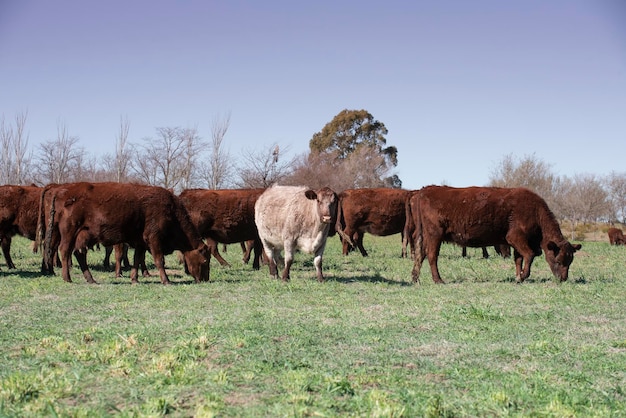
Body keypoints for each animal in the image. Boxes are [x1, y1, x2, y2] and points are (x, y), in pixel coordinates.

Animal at [36, 183, 210, 284]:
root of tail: (61, 190)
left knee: (79, 253)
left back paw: (91, 279)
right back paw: (67, 278)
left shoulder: (140, 242)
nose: (205, 279)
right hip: (69, 232)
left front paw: (134, 279)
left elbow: (136, 259)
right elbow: (159, 260)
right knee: (65, 251)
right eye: (205, 261)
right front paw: (166, 280)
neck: (171, 210)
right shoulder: (154, 239)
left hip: (82, 235)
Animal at [404, 186, 580, 284]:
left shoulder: (517, 243)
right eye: (558, 260)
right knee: (432, 256)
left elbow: (519, 259)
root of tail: (426, 189)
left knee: (420, 255)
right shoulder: (515, 237)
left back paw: (415, 278)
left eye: (570, 261)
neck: (535, 212)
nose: (563, 279)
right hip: (435, 235)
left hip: (425, 236)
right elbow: (529, 255)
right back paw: (438, 280)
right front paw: (523, 276)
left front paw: (517, 276)